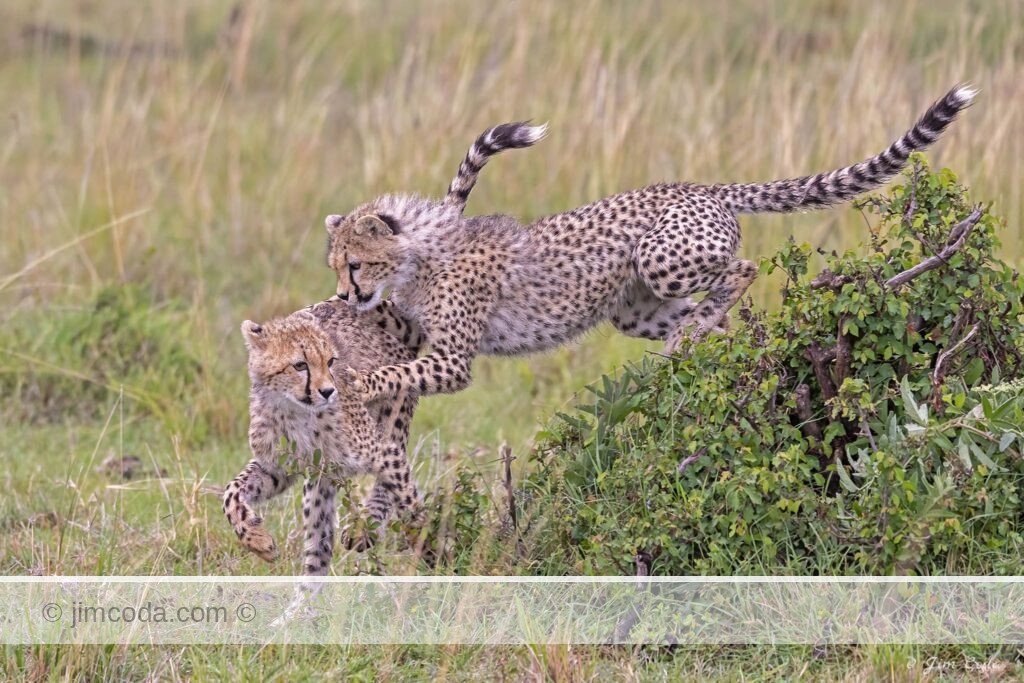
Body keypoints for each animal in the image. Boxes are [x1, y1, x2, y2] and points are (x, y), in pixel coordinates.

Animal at [323, 85, 977, 405]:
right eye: (335, 267)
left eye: (354, 263)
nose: (345, 294)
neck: (419, 258)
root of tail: (699, 186)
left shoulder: (453, 358)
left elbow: (395, 373)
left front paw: (355, 383)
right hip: (633, 309)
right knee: (705, 318)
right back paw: (698, 337)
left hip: (659, 259)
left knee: (744, 267)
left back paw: (698, 331)